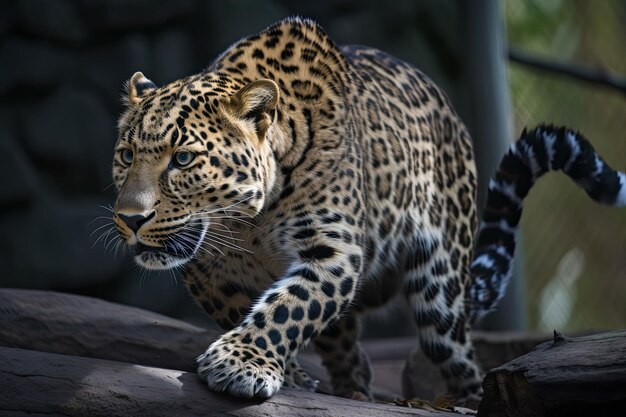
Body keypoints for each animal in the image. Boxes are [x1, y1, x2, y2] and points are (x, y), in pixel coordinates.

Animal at [112, 17, 624, 402]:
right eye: (126, 155)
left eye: (183, 159)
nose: (130, 220)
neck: (247, 224)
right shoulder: (208, 271)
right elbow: (253, 308)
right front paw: (289, 374)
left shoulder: (335, 252)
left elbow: (288, 309)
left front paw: (240, 363)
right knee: (349, 350)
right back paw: (349, 388)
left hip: (441, 291)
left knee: (460, 359)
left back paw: (467, 399)